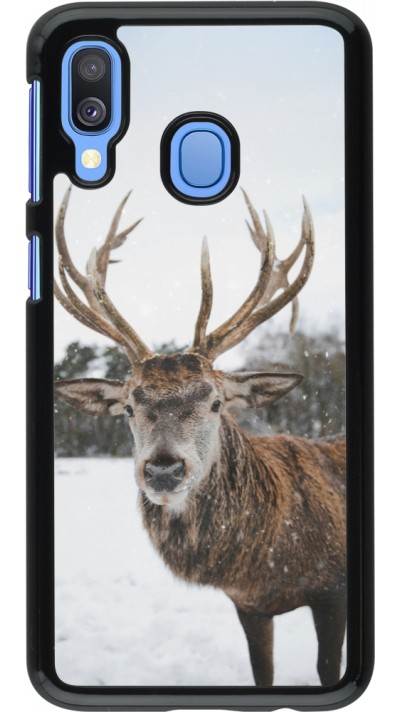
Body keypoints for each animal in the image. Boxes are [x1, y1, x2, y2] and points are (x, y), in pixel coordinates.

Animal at [54, 186, 346, 687]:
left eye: (215, 402)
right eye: (128, 407)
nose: (163, 469)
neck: (268, 562)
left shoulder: (333, 590)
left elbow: (329, 669)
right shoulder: (248, 605)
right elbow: (262, 672)